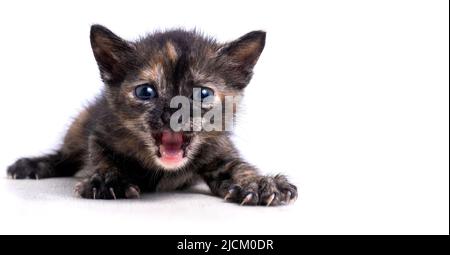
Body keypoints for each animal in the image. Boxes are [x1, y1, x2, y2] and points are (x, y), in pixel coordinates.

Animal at [7, 24, 298, 206]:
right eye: (146, 91)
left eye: (203, 93)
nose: (174, 113)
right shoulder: (101, 132)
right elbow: (102, 157)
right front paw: (107, 180)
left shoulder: (219, 151)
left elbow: (238, 167)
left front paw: (260, 184)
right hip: (78, 125)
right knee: (65, 156)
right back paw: (32, 165)